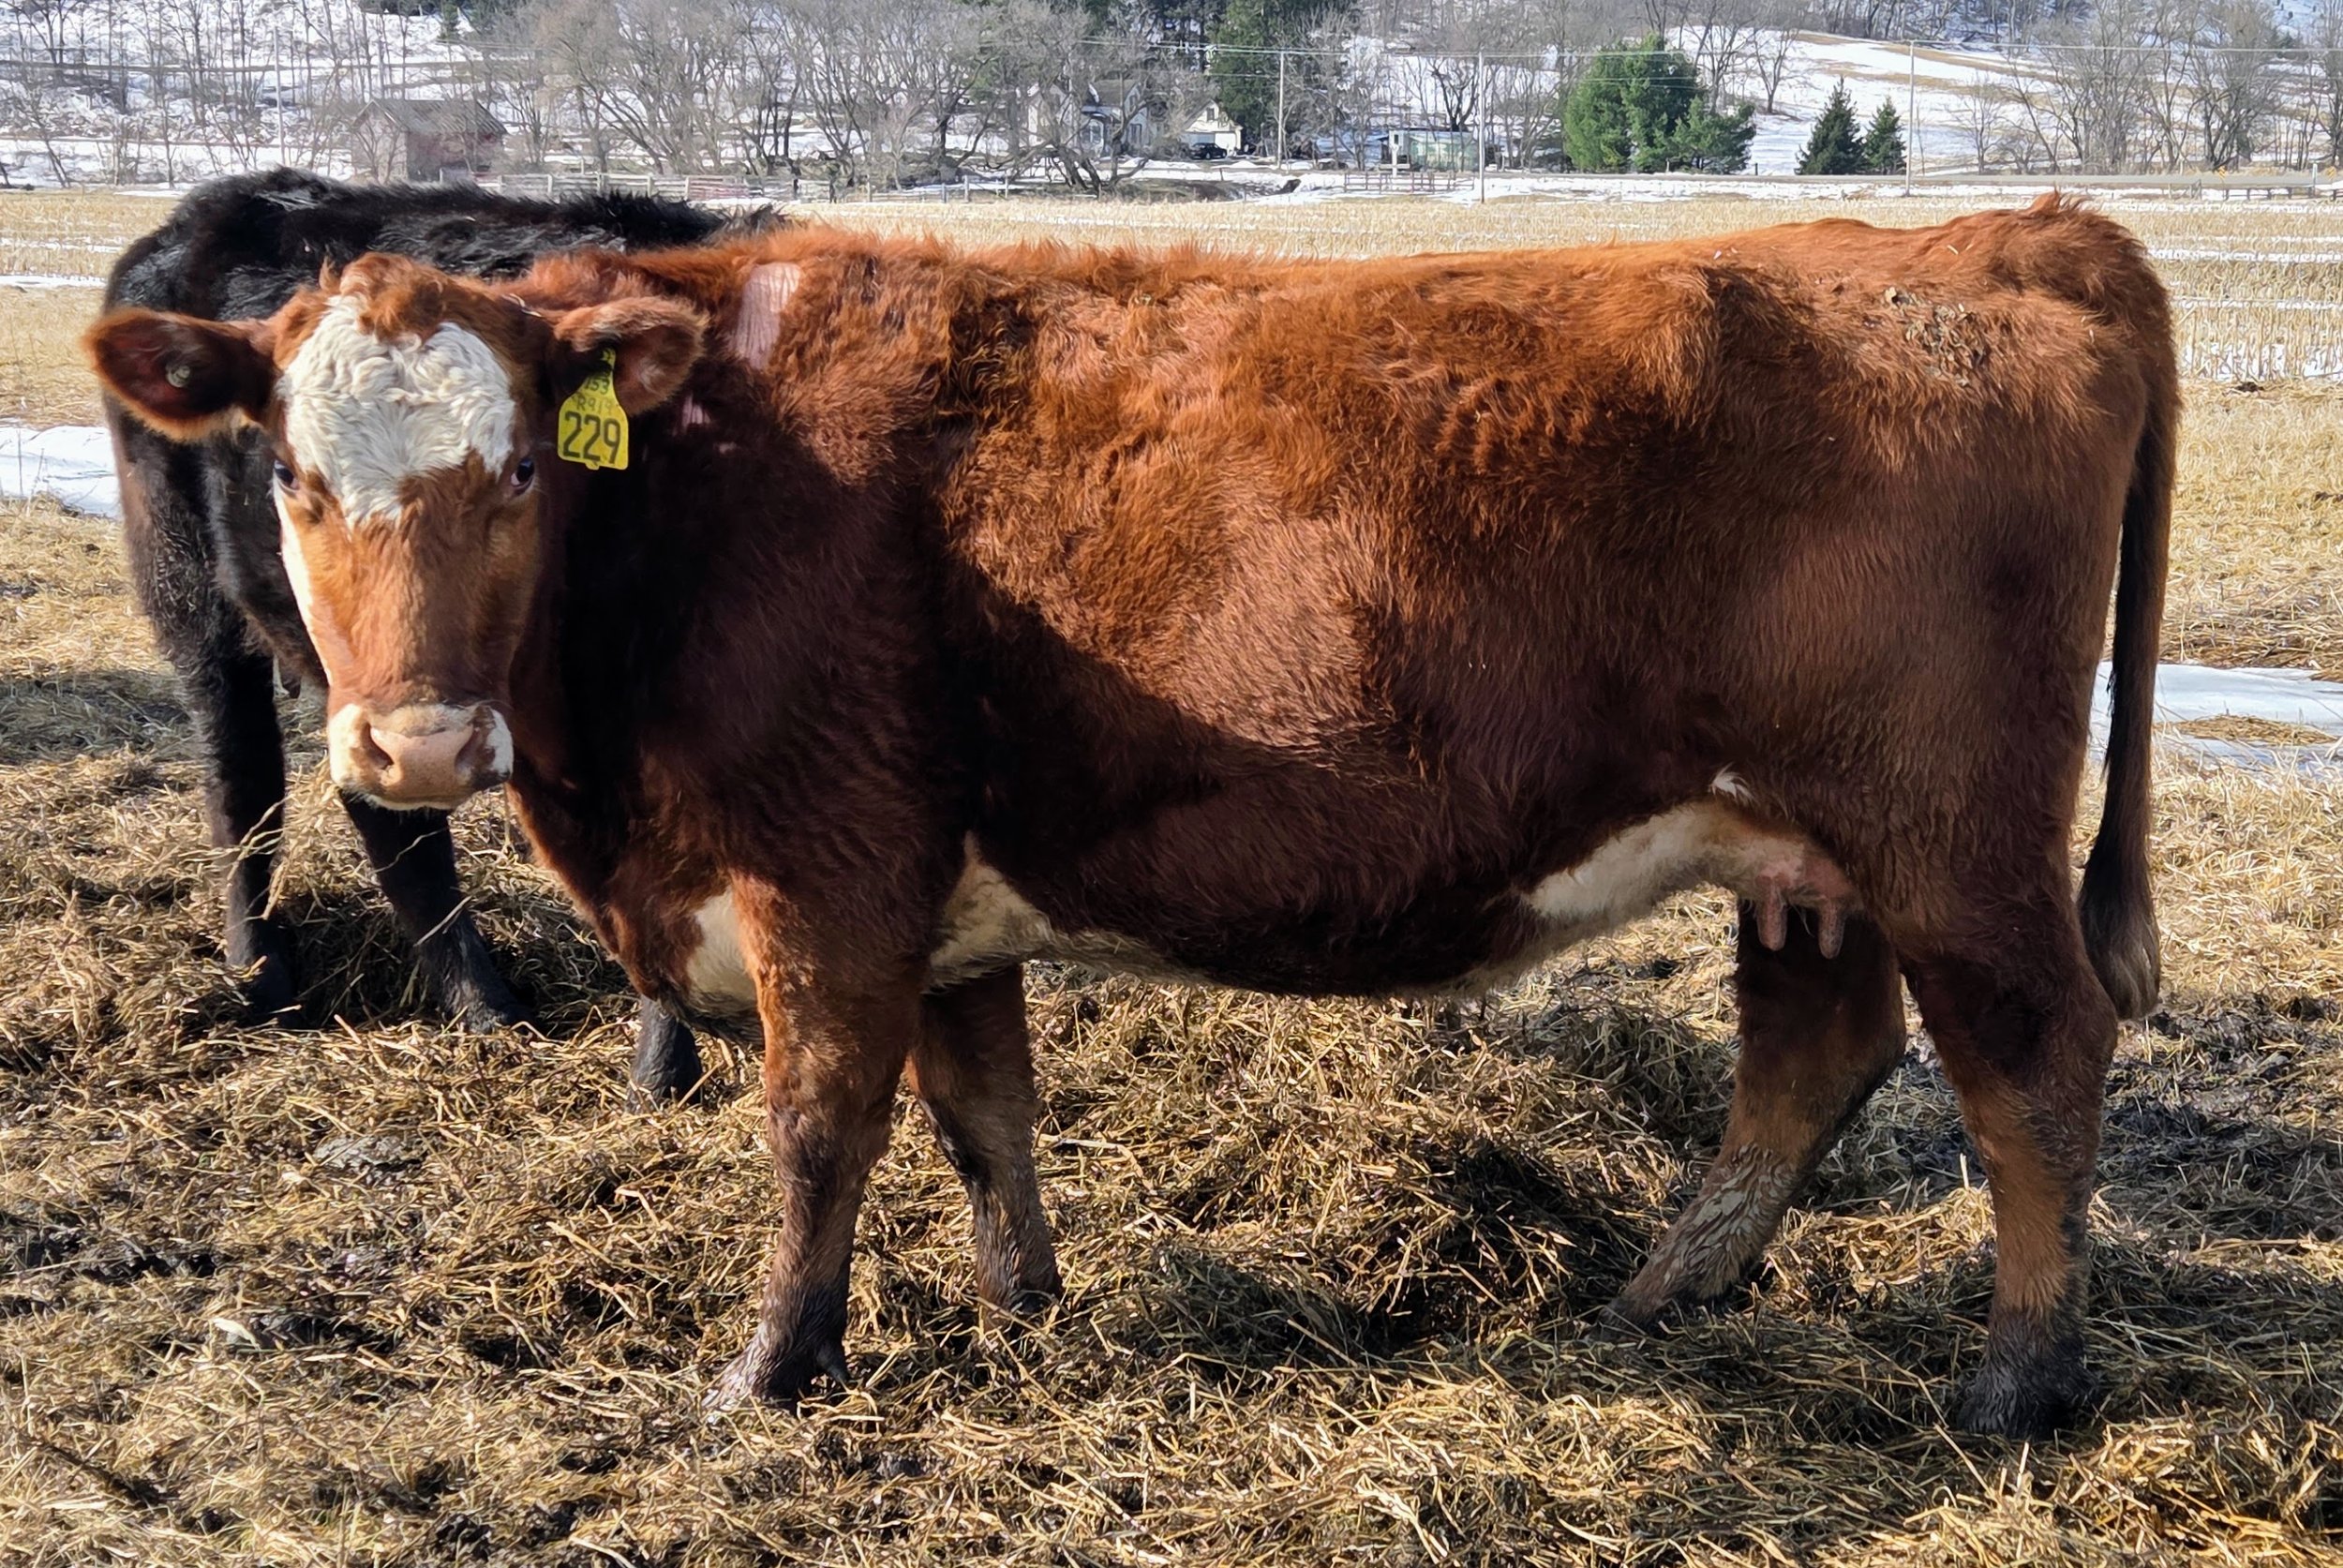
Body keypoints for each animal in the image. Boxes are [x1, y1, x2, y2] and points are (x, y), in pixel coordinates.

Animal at [100, 168, 717, 1101]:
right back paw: (295, 980)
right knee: (252, 786)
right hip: (197, 603)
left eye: (525, 465)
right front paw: (662, 1072)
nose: (425, 743)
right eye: (287, 472)